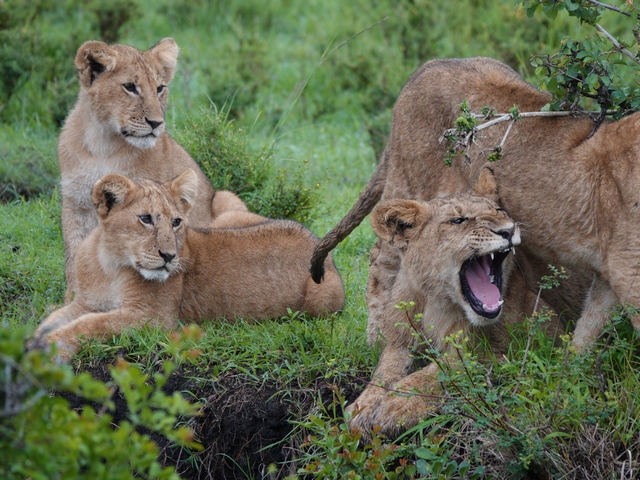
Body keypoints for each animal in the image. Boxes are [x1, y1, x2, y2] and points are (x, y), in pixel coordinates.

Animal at [35, 169, 345, 361]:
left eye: (176, 222)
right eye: (145, 219)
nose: (169, 256)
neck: (110, 264)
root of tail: (320, 247)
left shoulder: (152, 318)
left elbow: (90, 324)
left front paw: (51, 347)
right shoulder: (86, 302)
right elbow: (55, 319)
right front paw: (35, 338)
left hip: (321, 298)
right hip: (228, 211)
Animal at [59, 38, 243, 301]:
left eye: (159, 88)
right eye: (130, 87)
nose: (156, 123)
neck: (103, 141)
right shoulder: (76, 204)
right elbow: (74, 256)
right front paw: (71, 300)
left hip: (227, 200)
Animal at [310, 56, 638, 350]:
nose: (507, 230)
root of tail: (427, 67)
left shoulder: (611, 270)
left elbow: (588, 327)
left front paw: (569, 369)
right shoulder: (628, 271)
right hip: (408, 184)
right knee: (382, 256)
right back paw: (379, 339)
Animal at [348, 169, 564, 438]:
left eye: (499, 211)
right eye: (459, 220)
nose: (507, 230)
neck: (434, 301)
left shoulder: (502, 351)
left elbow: (444, 370)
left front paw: (396, 404)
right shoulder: (400, 341)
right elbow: (384, 371)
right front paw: (364, 406)